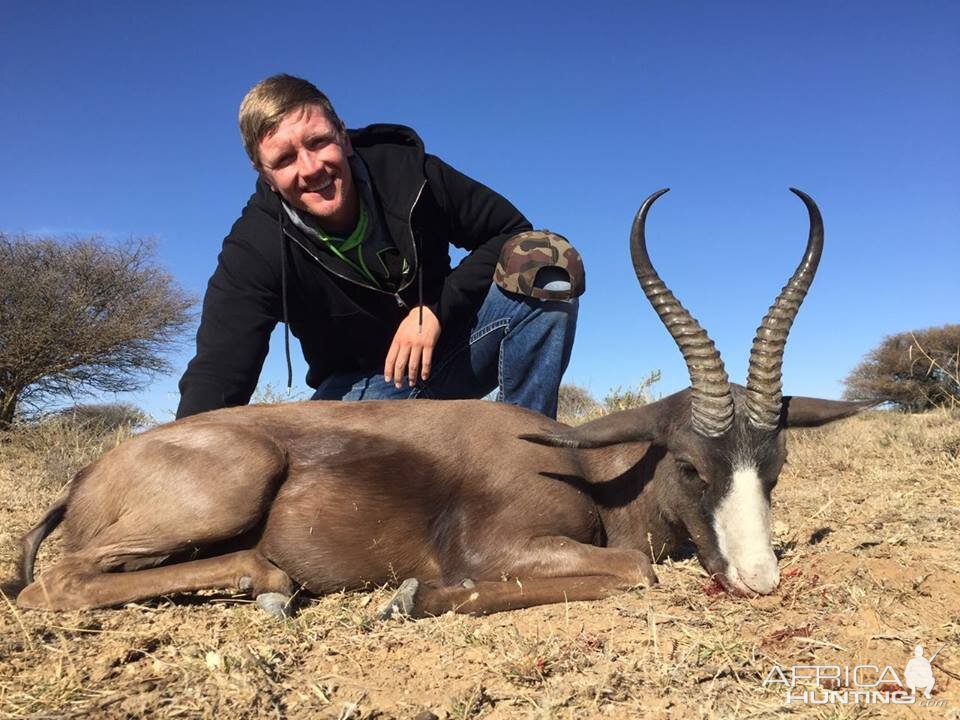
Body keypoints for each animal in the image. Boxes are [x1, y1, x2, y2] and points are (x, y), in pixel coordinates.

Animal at [11, 190, 872, 620]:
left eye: (775, 467)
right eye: (691, 466)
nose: (760, 580)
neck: (587, 471)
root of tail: (86, 477)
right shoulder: (505, 546)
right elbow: (634, 569)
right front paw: (413, 596)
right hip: (237, 479)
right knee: (54, 586)